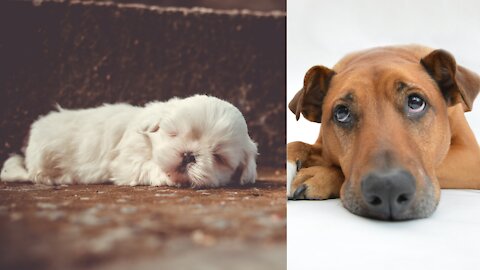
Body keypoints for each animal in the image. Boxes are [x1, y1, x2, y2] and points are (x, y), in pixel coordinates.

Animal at [0, 95, 258, 188]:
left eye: (218, 157)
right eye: (173, 134)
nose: (189, 155)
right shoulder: (127, 162)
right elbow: (147, 167)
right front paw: (166, 176)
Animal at [286, 45, 478, 220]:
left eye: (416, 102)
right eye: (341, 113)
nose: (388, 188)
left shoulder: (470, 156)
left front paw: (321, 175)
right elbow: (299, 144)